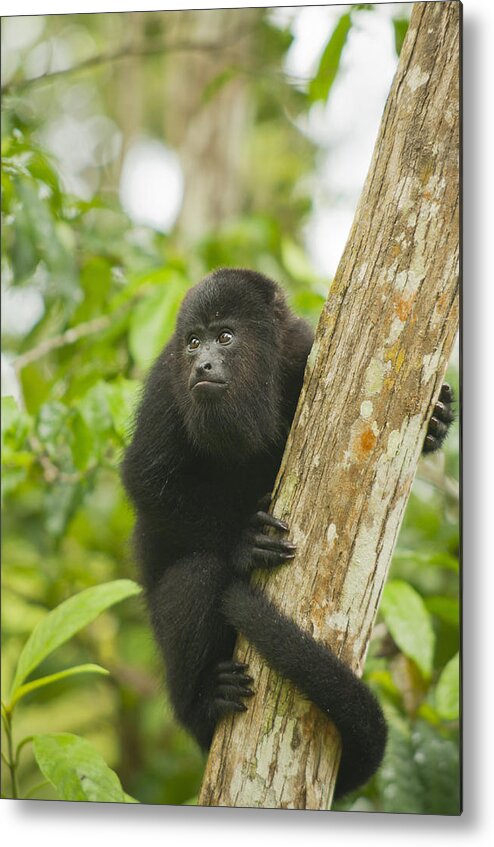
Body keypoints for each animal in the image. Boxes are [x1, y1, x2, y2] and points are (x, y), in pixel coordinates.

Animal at [121, 270, 454, 800]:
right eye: (193, 341)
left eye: (225, 337)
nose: (203, 363)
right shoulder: (164, 386)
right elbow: (146, 480)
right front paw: (241, 543)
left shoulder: (302, 353)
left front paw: (438, 419)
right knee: (197, 576)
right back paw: (202, 704)